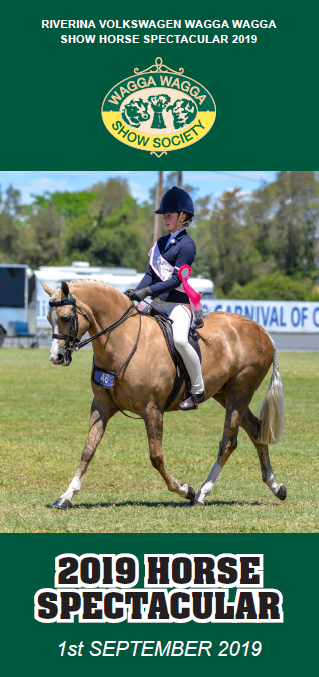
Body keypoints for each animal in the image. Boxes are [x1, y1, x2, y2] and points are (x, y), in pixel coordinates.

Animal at [42, 278, 288, 508]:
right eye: (48, 318)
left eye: (66, 318)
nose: (56, 357)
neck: (123, 341)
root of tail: (261, 330)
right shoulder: (101, 406)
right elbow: (88, 449)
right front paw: (66, 495)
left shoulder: (152, 410)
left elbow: (156, 456)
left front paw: (185, 489)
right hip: (225, 394)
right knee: (256, 431)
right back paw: (275, 486)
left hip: (240, 391)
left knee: (228, 441)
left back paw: (201, 494)